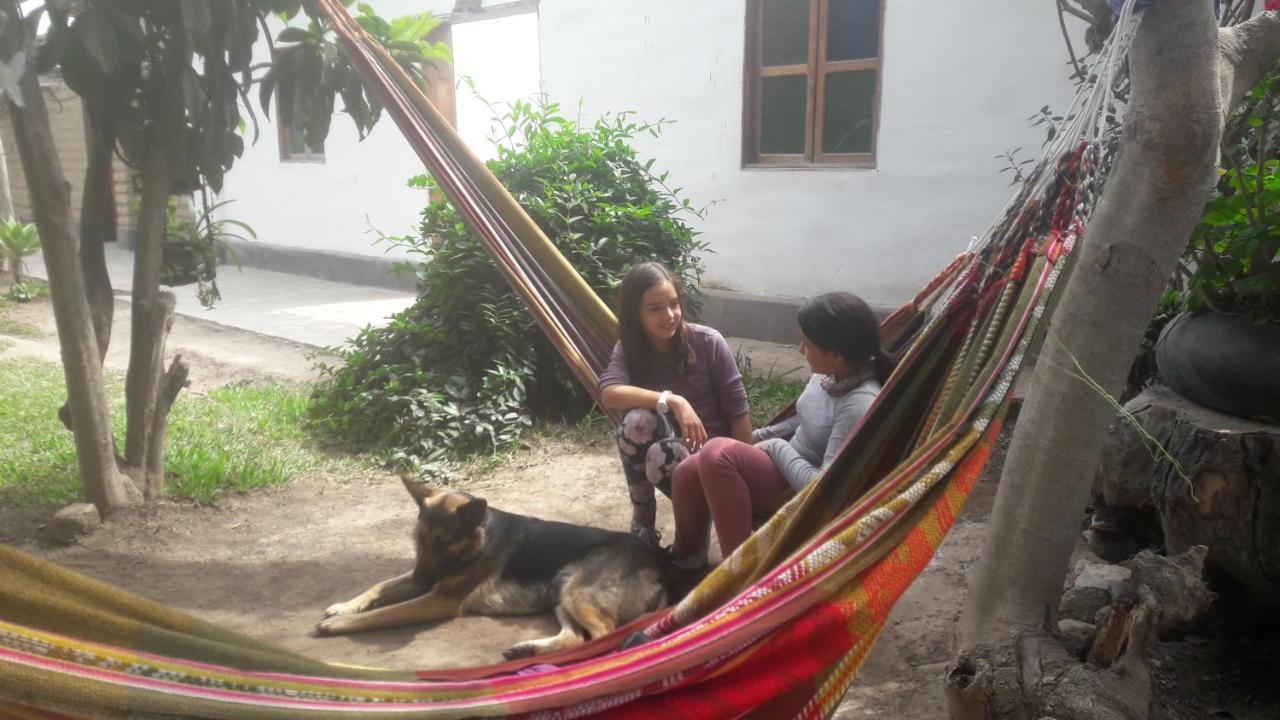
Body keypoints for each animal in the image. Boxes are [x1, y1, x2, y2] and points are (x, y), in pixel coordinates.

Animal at [316, 476, 670, 655]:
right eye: (418, 539)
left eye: (444, 542)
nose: (421, 580)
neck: (480, 540)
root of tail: (655, 563)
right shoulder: (427, 581)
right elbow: (381, 585)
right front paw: (344, 606)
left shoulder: (437, 599)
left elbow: (385, 613)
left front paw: (341, 623)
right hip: (561, 590)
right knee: (575, 638)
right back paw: (529, 650)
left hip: (576, 591)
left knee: (601, 635)